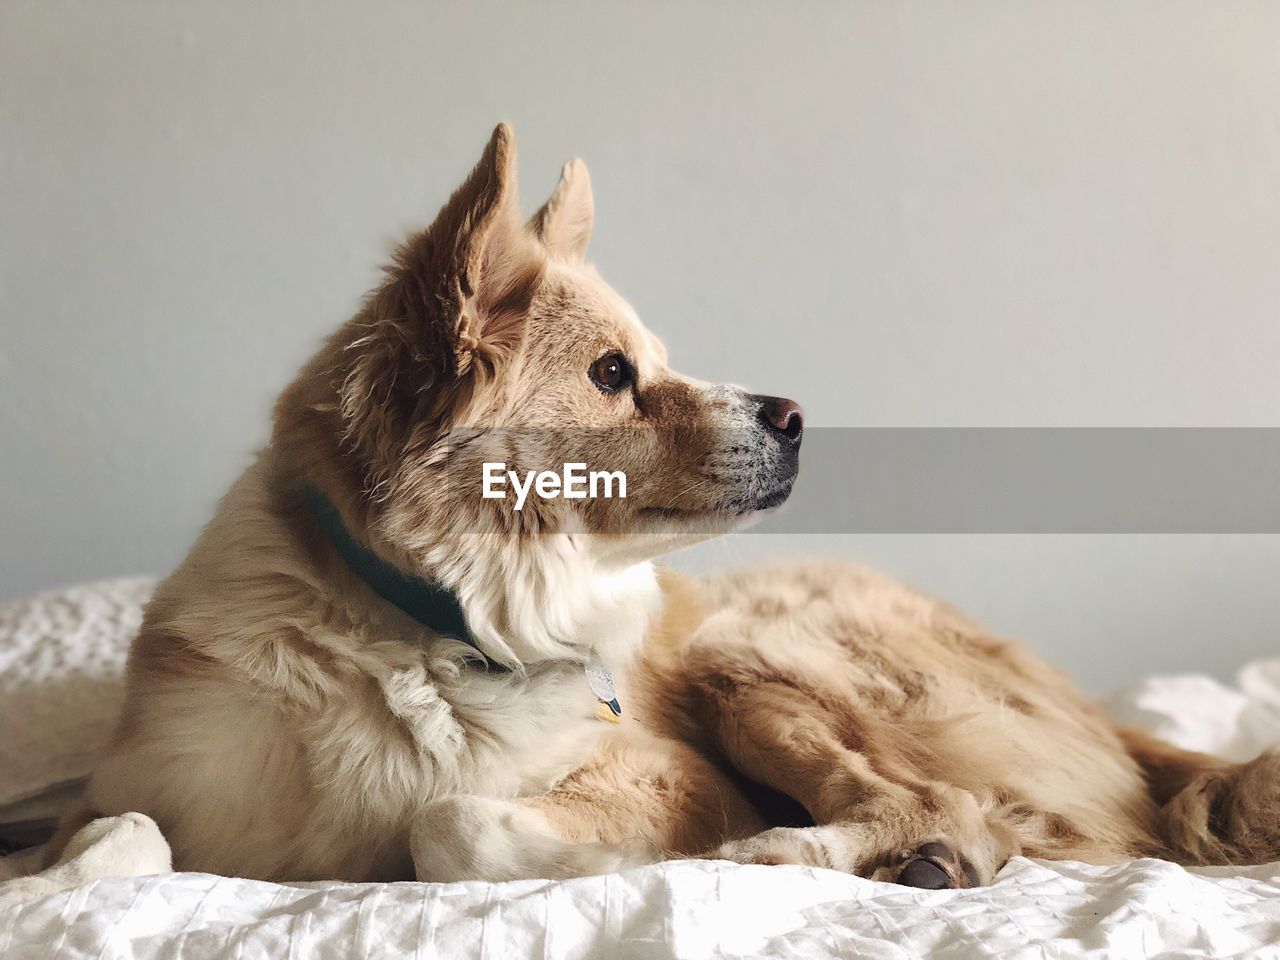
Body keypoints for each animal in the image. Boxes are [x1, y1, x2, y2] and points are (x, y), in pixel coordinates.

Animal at [57, 126, 1280, 885]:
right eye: (611, 375)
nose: (797, 415)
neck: (419, 624)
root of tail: (1091, 708)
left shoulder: (667, 771)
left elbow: (446, 821)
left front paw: (625, 863)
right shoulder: (150, 784)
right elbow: (110, 838)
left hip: (754, 648)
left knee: (951, 808)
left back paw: (785, 861)